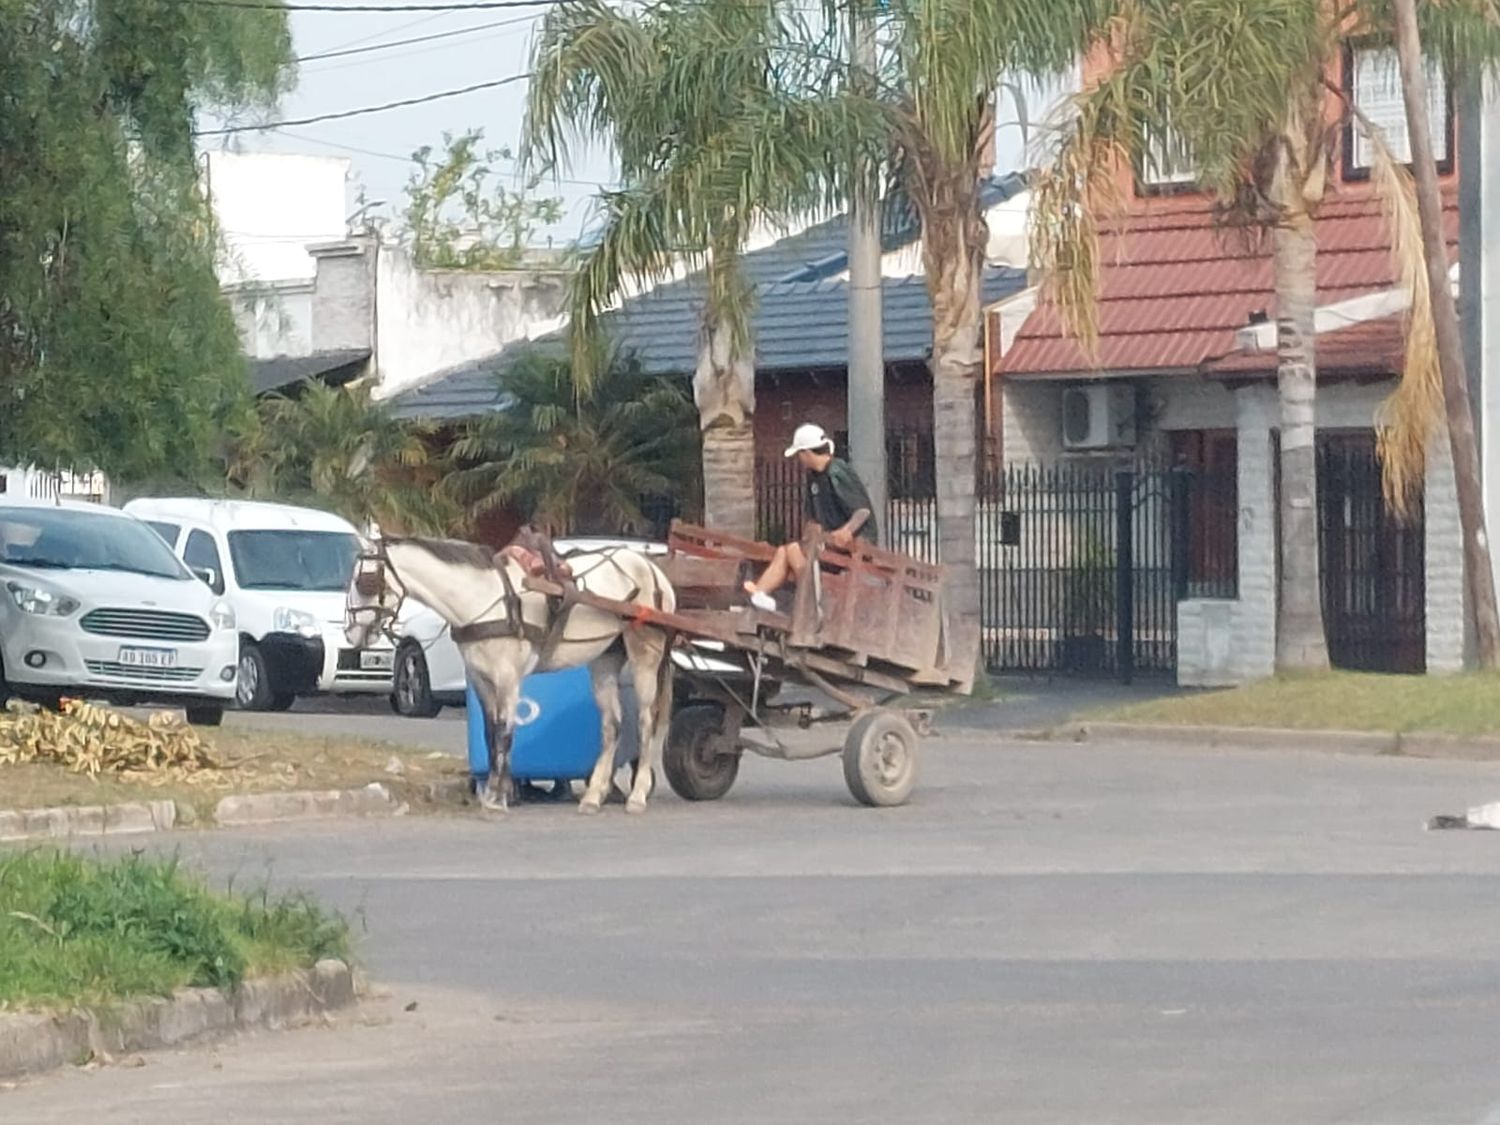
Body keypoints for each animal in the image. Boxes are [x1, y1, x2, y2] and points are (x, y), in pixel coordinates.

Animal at [343, 540, 678, 816]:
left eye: (366, 580)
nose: (351, 632)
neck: (484, 599)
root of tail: (651, 568)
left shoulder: (508, 677)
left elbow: (505, 732)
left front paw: (496, 797)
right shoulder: (481, 678)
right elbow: (490, 732)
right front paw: (498, 792)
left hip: (645, 654)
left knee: (646, 721)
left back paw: (637, 795)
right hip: (606, 658)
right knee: (612, 725)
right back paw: (594, 795)